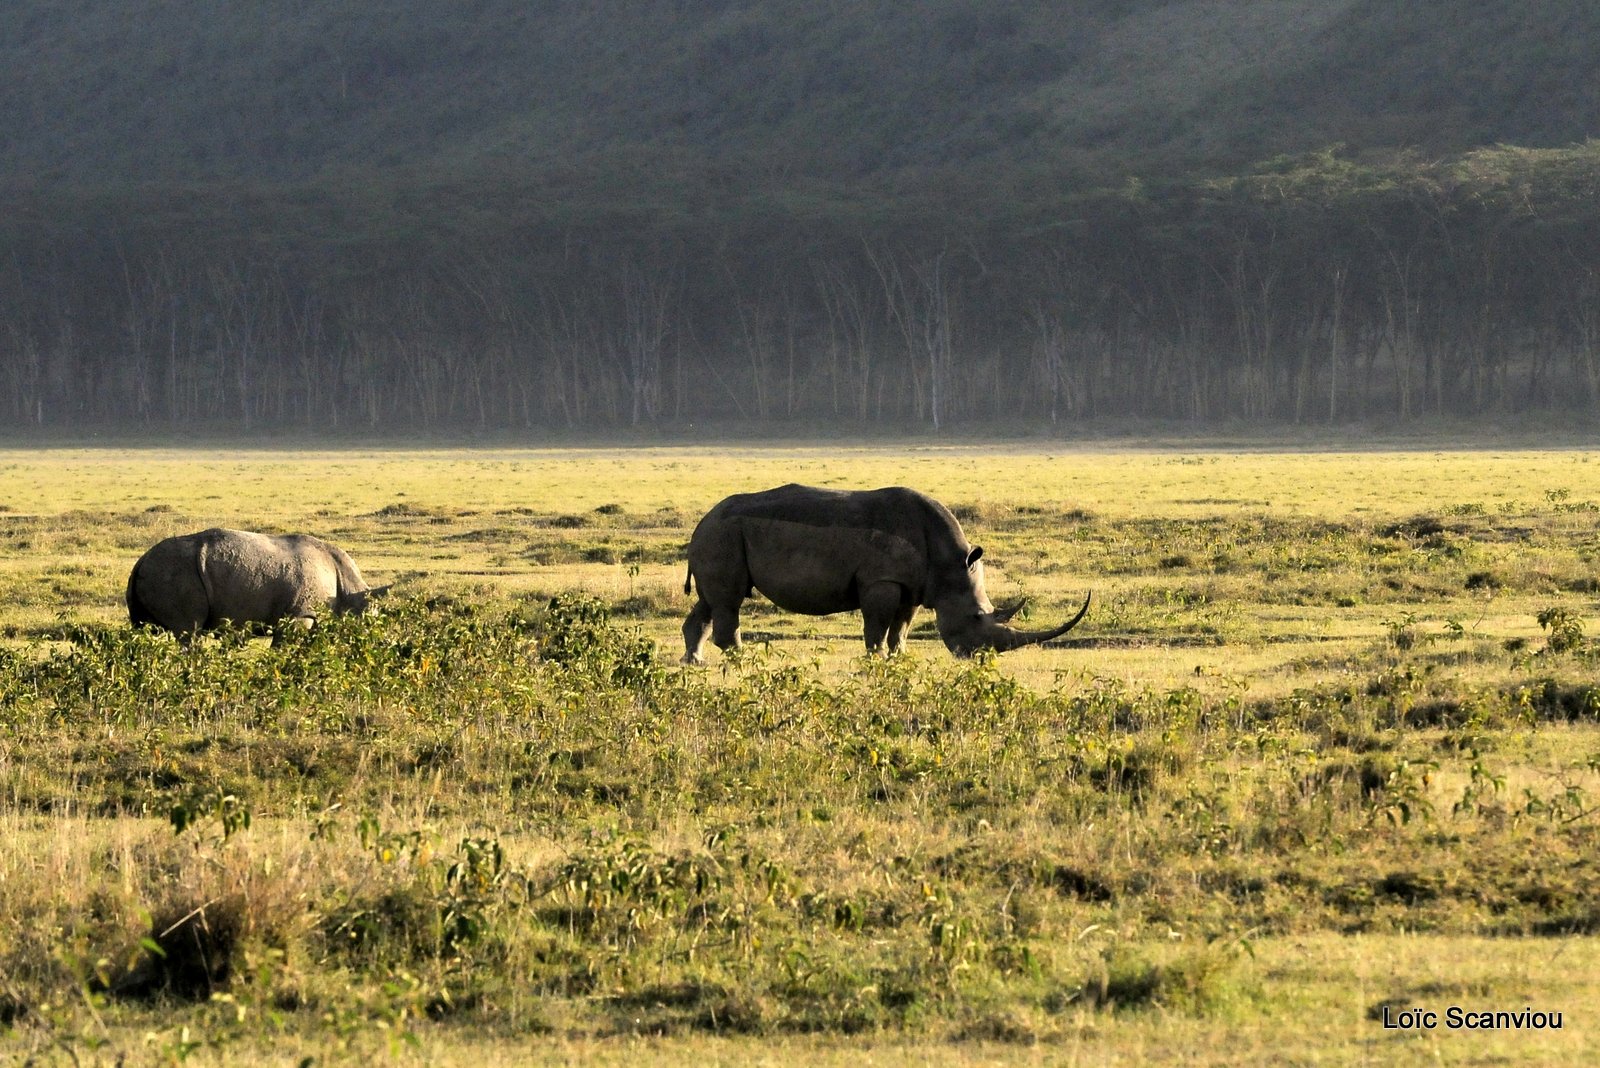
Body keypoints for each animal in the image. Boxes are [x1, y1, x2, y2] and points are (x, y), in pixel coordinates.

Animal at [125, 527, 387, 633]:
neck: (350, 587)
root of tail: (141, 560)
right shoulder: (301, 613)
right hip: (174, 572)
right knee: (189, 630)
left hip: (159, 572)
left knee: (144, 630)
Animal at [681, 486, 1094, 668]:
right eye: (977, 618)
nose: (980, 658)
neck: (950, 564)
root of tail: (702, 521)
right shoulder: (882, 580)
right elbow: (877, 624)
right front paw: (876, 659)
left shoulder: (912, 586)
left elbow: (902, 626)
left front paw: (899, 657)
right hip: (723, 535)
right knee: (729, 600)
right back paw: (742, 660)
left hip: (719, 536)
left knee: (709, 601)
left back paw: (694, 662)